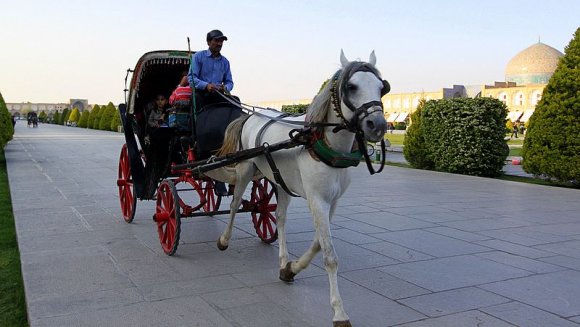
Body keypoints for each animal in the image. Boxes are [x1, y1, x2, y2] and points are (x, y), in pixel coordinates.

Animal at [215, 51, 388, 327]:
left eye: (382, 88)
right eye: (351, 87)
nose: (378, 125)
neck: (322, 142)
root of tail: (252, 115)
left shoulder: (332, 201)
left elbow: (319, 243)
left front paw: (291, 269)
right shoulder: (316, 199)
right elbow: (330, 255)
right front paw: (339, 312)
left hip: (280, 181)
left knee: (279, 217)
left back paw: (283, 259)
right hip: (244, 168)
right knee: (233, 204)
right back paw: (224, 240)